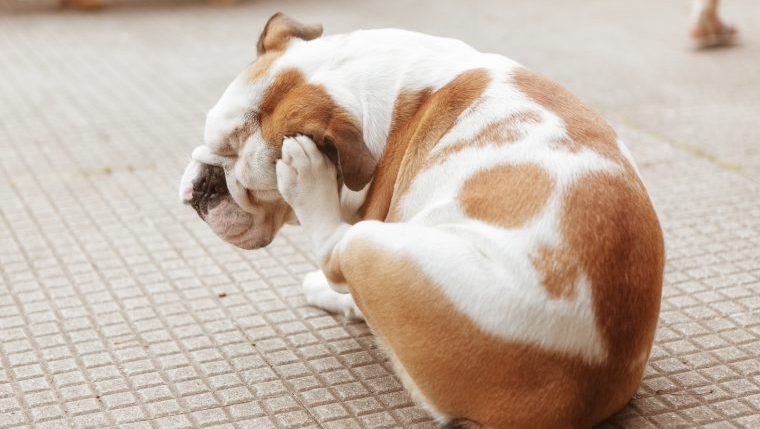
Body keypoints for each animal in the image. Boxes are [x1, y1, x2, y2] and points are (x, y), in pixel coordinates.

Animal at [180, 13, 664, 428]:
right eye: (208, 139)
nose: (206, 185)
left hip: (376, 246)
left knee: (337, 251)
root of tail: (588, 380)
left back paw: (309, 183)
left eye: (254, 188)